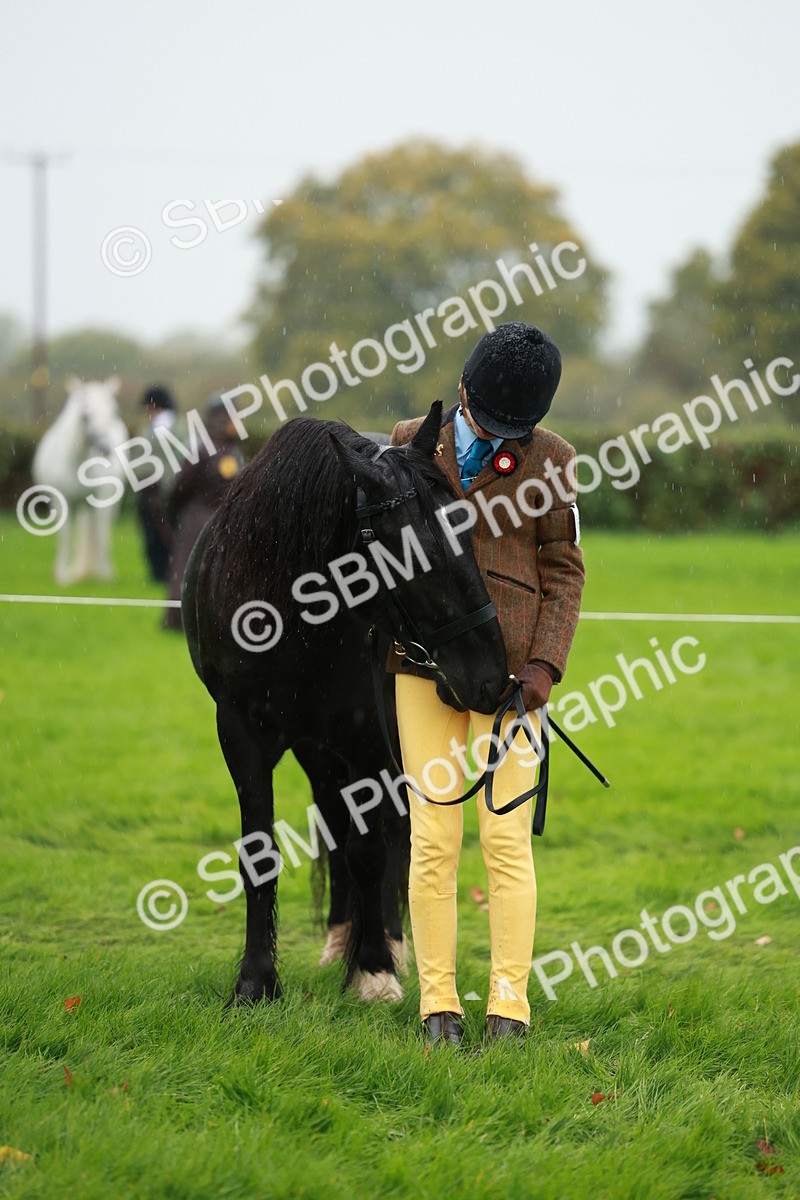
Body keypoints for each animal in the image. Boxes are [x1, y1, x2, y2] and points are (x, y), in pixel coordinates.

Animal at [32, 377, 129, 585]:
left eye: (114, 412)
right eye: (86, 416)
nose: (106, 448)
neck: (77, 462)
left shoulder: (102, 501)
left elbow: (101, 534)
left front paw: (105, 575)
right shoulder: (63, 503)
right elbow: (66, 536)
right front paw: (63, 576)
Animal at [181, 401, 509, 1004]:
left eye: (468, 527)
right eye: (410, 552)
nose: (491, 676)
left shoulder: (367, 737)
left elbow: (370, 850)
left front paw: (374, 969)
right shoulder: (240, 733)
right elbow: (261, 852)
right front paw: (256, 980)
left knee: (395, 831)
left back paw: (391, 944)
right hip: (318, 748)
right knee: (335, 822)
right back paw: (340, 940)